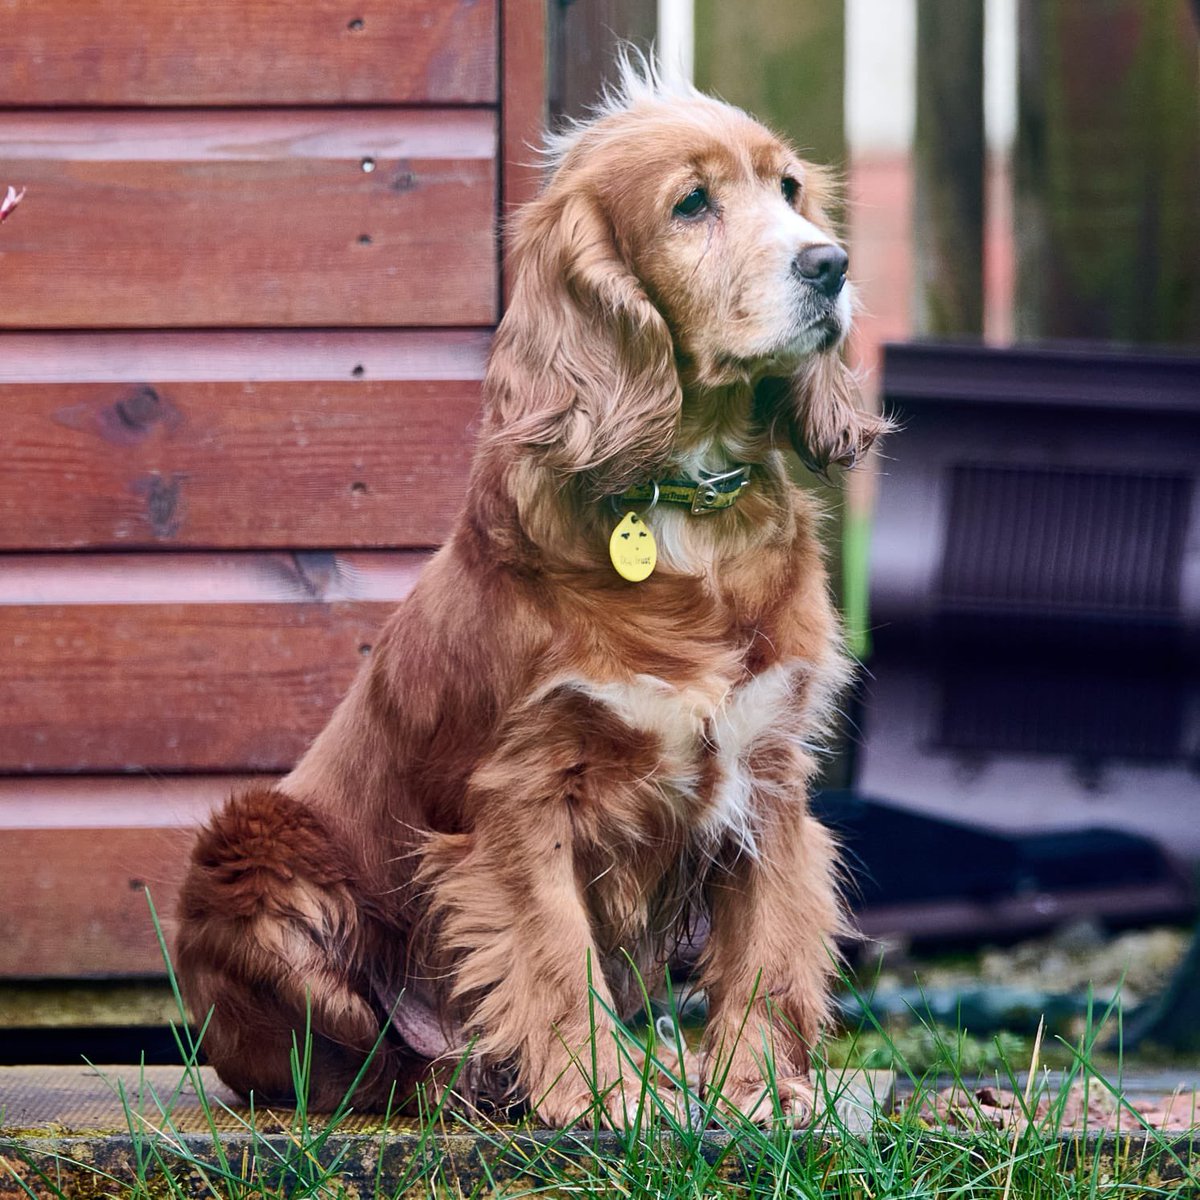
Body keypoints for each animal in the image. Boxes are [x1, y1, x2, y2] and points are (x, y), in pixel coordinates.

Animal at [177, 60, 892, 1128]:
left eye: (791, 189)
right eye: (691, 204)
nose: (831, 265)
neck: (685, 509)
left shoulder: (769, 771)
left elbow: (765, 946)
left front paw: (759, 1090)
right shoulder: (520, 795)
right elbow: (553, 957)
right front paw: (605, 1097)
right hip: (253, 851)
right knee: (336, 1061)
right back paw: (468, 1081)